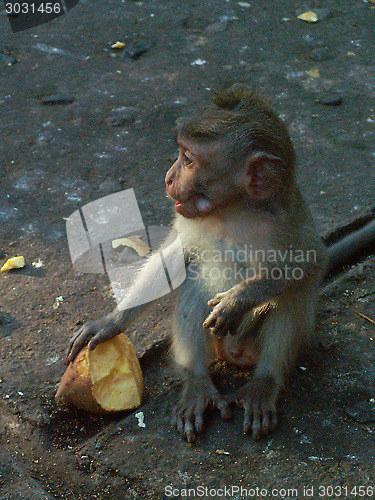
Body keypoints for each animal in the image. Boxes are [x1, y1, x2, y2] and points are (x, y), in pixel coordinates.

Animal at [65, 85, 328, 442]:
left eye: (188, 160)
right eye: (180, 154)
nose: (167, 178)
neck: (233, 210)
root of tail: (234, 353)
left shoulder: (286, 219)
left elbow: (311, 261)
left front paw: (239, 299)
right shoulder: (189, 218)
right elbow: (172, 262)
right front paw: (111, 322)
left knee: (292, 296)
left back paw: (265, 382)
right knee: (194, 283)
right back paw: (197, 382)